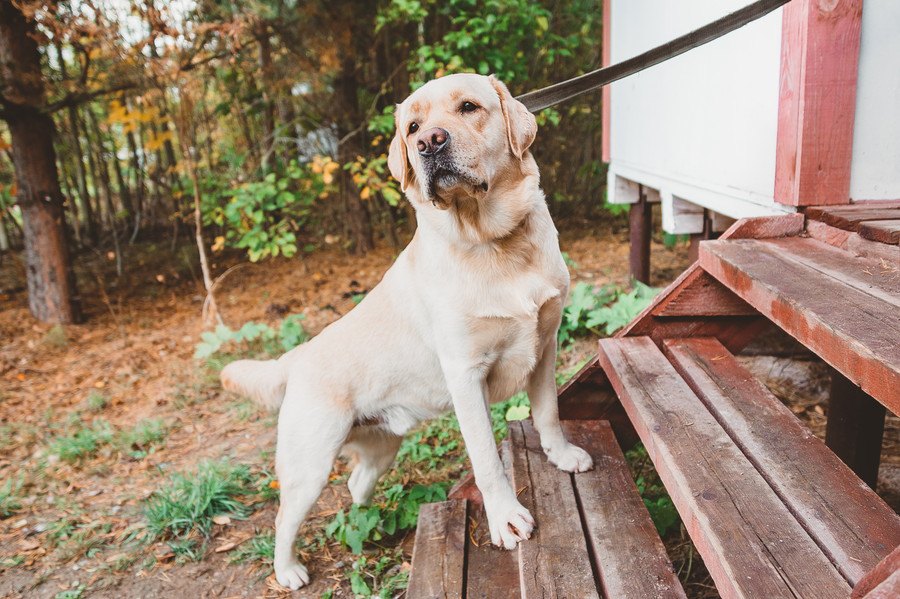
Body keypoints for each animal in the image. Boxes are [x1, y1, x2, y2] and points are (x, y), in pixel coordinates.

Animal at [221, 71, 596, 592]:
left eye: (468, 107)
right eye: (412, 126)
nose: (429, 142)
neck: (495, 244)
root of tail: (297, 356)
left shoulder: (544, 346)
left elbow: (548, 414)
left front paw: (561, 456)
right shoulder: (466, 376)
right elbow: (487, 459)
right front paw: (505, 518)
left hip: (381, 447)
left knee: (356, 483)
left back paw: (373, 518)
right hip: (308, 465)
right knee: (284, 518)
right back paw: (288, 570)